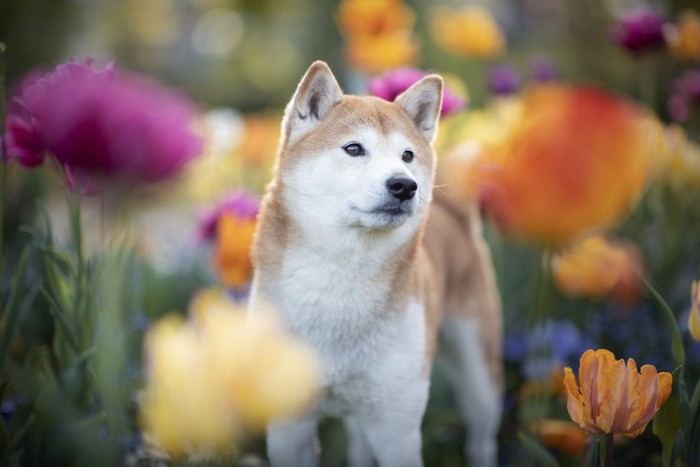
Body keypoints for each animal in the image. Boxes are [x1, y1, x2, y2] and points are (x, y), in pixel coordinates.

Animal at [250, 62, 504, 467]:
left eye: (407, 156)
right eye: (354, 148)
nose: (404, 185)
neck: (340, 283)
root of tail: (455, 215)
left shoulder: (396, 427)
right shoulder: (290, 426)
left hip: (478, 374)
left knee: (481, 439)